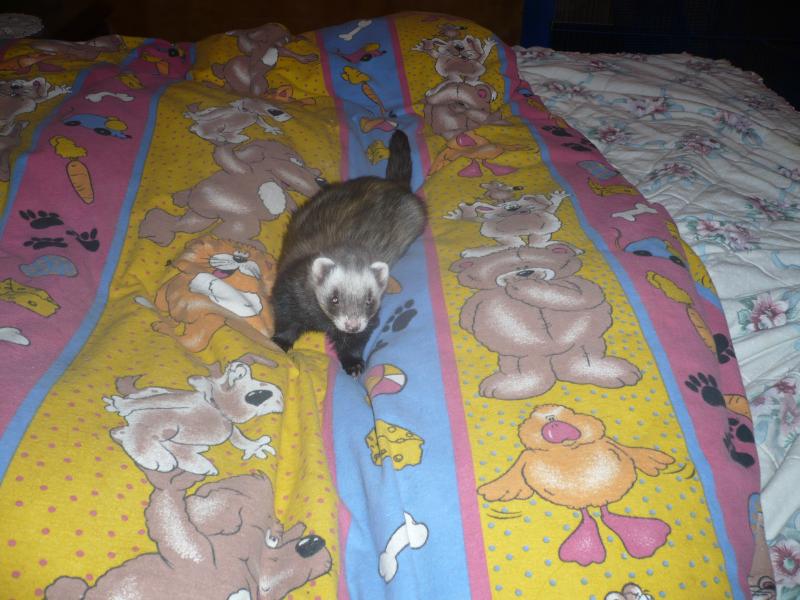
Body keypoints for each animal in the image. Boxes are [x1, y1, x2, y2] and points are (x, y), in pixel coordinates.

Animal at [105, 353, 283, 476]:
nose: (237, 365)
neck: (217, 409)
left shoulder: (230, 428)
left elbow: (239, 439)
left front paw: (256, 447)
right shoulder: (175, 406)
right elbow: (156, 406)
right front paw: (122, 405)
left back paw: (199, 462)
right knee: (131, 430)